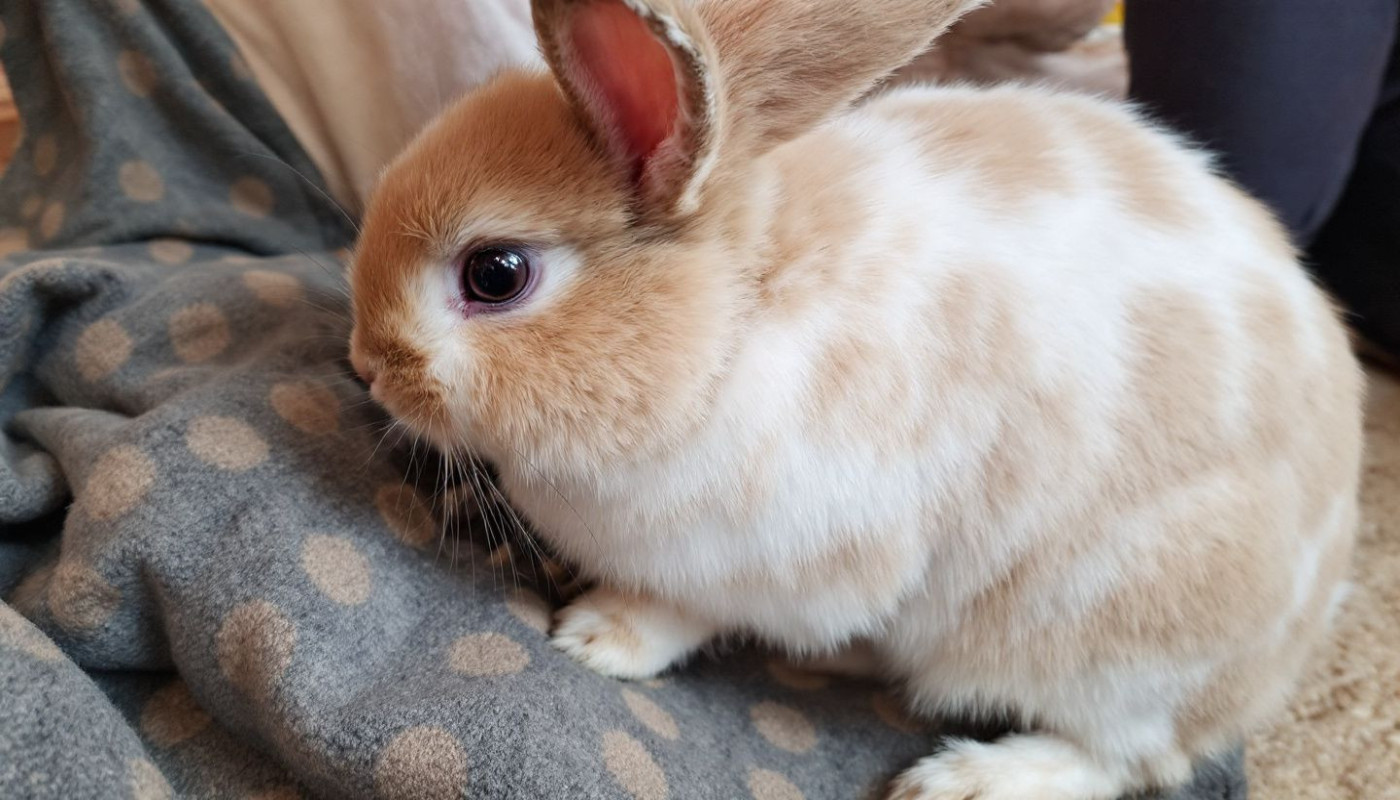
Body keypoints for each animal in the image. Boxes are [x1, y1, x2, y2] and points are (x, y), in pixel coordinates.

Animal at [345, 0, 1365, 796]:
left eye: (496, 273)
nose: (366, 365)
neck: (733, 321)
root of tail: (1289, 651)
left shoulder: (786, 559)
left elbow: (685, 612)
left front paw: (596, 638)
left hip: (1108, 643)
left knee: (1131, 759)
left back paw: (967, 781)